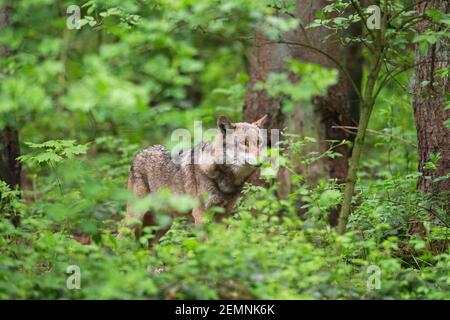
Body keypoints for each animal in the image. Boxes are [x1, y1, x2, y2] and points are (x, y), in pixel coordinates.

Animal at [118, 115, 268, 245]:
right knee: (120, 237)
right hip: (135, 217)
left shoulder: (224, 216)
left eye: (258, 142)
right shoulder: (201, 216)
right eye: (244, 143)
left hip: (164, 223)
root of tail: (140, 153)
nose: (262, 161)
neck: (226, 179)